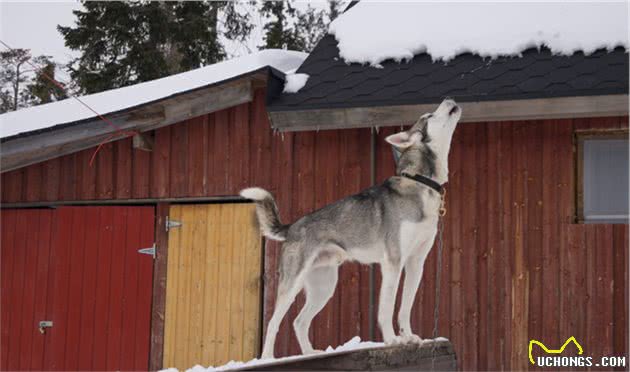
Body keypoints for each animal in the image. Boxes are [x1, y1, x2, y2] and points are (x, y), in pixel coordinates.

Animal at [239, 98, 462, 358]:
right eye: (429, 115)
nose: (449, 99)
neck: (421, 182)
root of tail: (292, 226)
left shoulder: (416, 262)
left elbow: (405, 308)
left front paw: (409, 337)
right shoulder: (393, 262)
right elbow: (387, 308)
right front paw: (392, 340)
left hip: (324, 286)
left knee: (299, 321)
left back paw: (311, 353)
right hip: (292, 284)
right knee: (274, 322)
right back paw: (267, 358)